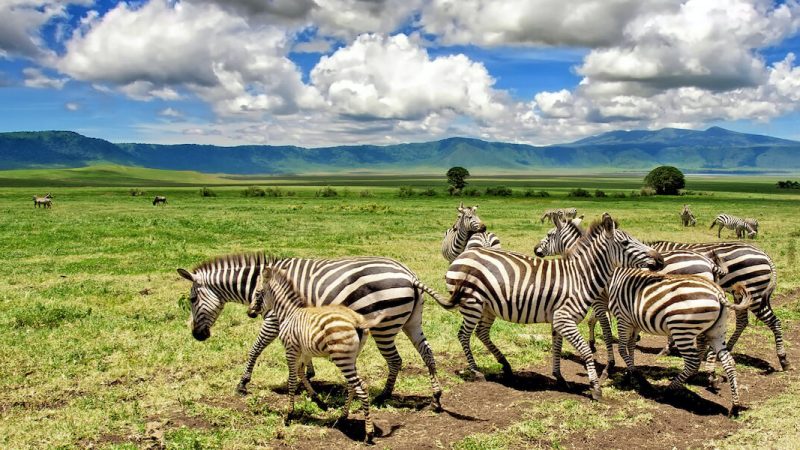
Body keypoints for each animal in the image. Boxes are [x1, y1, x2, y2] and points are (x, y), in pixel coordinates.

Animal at [176, 252, 455, 410]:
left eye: (191, 300)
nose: (197, 335)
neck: (264, 283)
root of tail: (410, 275)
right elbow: (303, 353)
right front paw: (309, 374)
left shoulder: (273, 319)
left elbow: (255, 349)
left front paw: (243, 383)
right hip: (411, 322)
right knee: (427, 354)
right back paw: (436, 397)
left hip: (384, 327)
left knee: (395, 360)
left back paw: (384, 396)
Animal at [254, 267, 385, 444]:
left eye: (257, 293)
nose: (250, 312)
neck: (289, 313)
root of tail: (356, 321)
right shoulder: (304, 351)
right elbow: (301, 373)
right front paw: (318, 401)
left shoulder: (290, 349)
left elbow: (292, 380)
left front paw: (289, 415)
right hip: (351, 357)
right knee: (353, 385)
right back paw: (342, 417)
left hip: (342, 358)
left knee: (362, 387)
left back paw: (368, 433)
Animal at [445, 213, 663, 400]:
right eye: (626, 243)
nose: (660, 259)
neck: (580, 277)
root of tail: (463, 255)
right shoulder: (564, 318)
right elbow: (585, 350)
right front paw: (595, 387)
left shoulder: (559, 319)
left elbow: (557, 347)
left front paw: (559, 377)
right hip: (472, 304)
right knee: (463, 335)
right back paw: (476, 371)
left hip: (488, 307)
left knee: (481, 333)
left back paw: (505, 365)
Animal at [533, 219, 787, 370]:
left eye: (549, 234)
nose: (536, 250)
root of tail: (764, 254)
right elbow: (602, 322)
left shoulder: (599, 298)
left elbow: (600, 324)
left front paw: (601, 350)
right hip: (738, 295)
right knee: (741, 322)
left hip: (750, 292)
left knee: (773, 322)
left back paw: (782, 358)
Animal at [606, 269, 752, 416]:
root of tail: (717, 292)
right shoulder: (634, 322)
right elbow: (631, 346)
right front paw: (630, 373)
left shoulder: (623, 318)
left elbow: (622, 348)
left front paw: (636, 376)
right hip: (717, 332)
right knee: (729, 362)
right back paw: (735, 406)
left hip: (682, 329)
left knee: (692, 362)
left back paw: (668, 390)